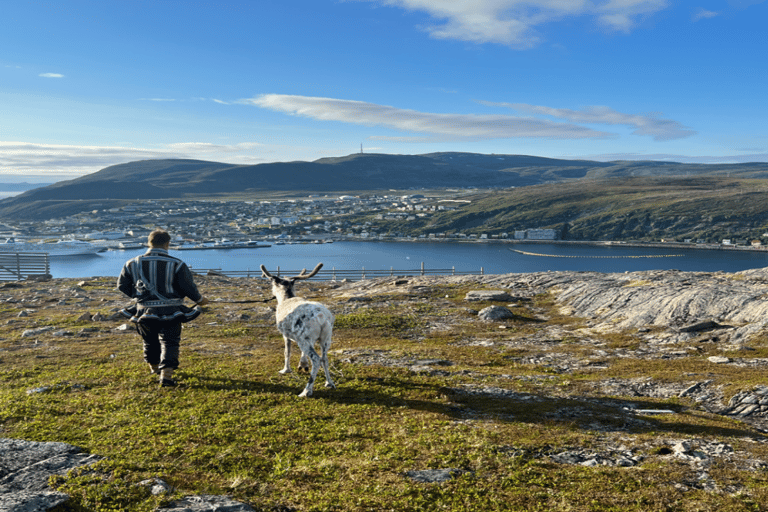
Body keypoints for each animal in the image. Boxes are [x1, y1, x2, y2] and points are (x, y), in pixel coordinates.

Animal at [260, 263, 335, 397]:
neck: (285, 298)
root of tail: (322, 318)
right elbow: (302, 353)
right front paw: (302, 365)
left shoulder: (285, 334)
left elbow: (287, 352)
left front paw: (285, 370)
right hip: (326, 338)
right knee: (325, 358)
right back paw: (329, 383)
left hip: (304, 338)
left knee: (316, 359)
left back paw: (306, 391)